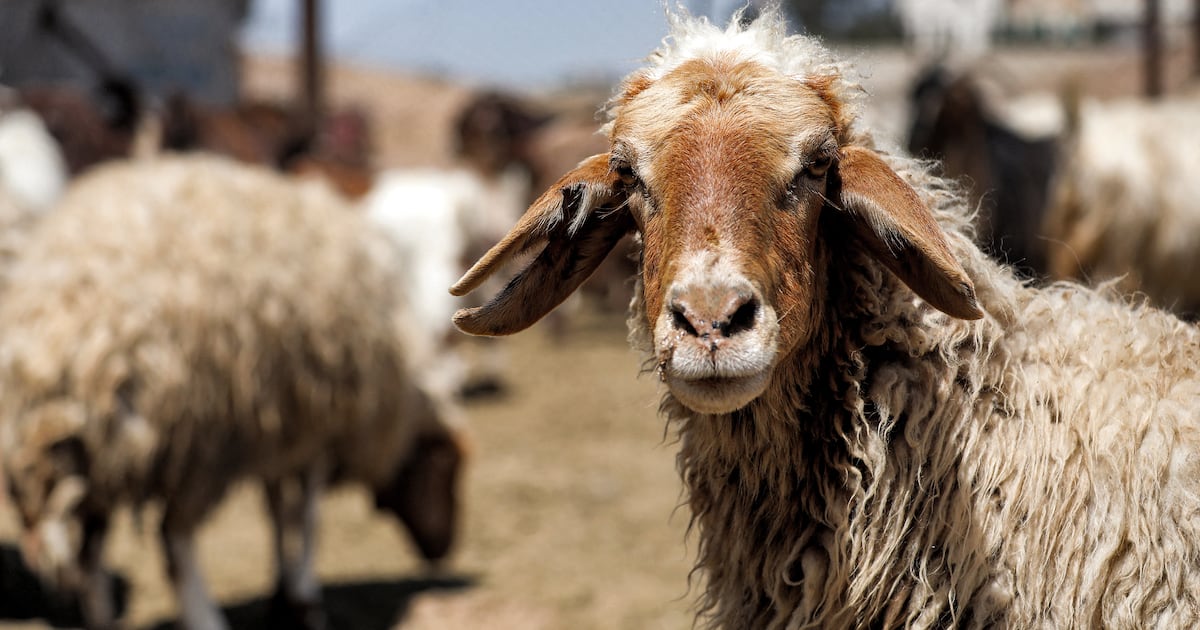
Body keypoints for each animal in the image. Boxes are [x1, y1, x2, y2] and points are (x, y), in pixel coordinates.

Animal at [0, 155, 465, 630]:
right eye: (448, 467)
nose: (443, 550)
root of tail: (46, 341)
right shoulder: (321, 428)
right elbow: (308, 516)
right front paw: (306, 598)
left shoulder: (282, 426)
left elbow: (277, 509)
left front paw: (283, 593)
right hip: (189, 439)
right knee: (175, 540)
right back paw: (205, 617)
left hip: (101, 458)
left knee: (91, 557)